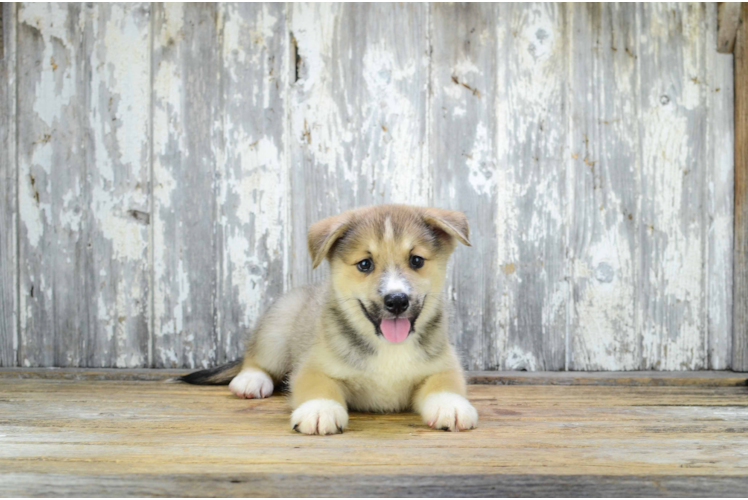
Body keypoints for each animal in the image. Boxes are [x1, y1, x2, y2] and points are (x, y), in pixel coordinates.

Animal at [180, 203, 480, 434]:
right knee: (256, 360)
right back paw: (251, 380)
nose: (396, 301)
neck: (388, 348)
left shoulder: (443, 365)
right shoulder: (313, 367)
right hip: (276, 329)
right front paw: (319, 410)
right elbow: (319, 387)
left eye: (416, 260)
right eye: (365, 264)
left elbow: (445, 385)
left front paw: (451, 405)